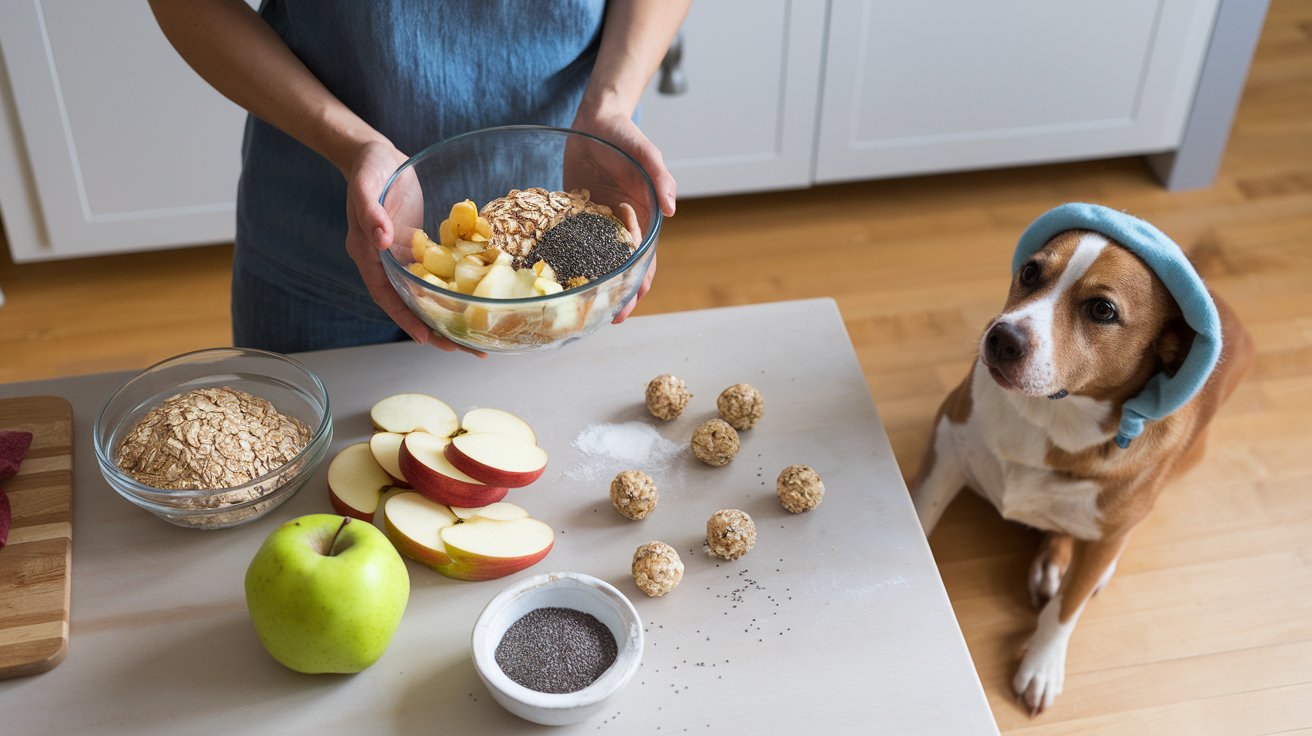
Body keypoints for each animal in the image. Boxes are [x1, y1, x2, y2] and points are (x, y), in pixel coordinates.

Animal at [907, 203, 1254, 713]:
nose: (1001, 338)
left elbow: (1066, 610)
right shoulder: (948, 444)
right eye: (1030, 272)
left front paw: (1042, 665)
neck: (1051, 416)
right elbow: (920, 512)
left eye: (1102, 310)